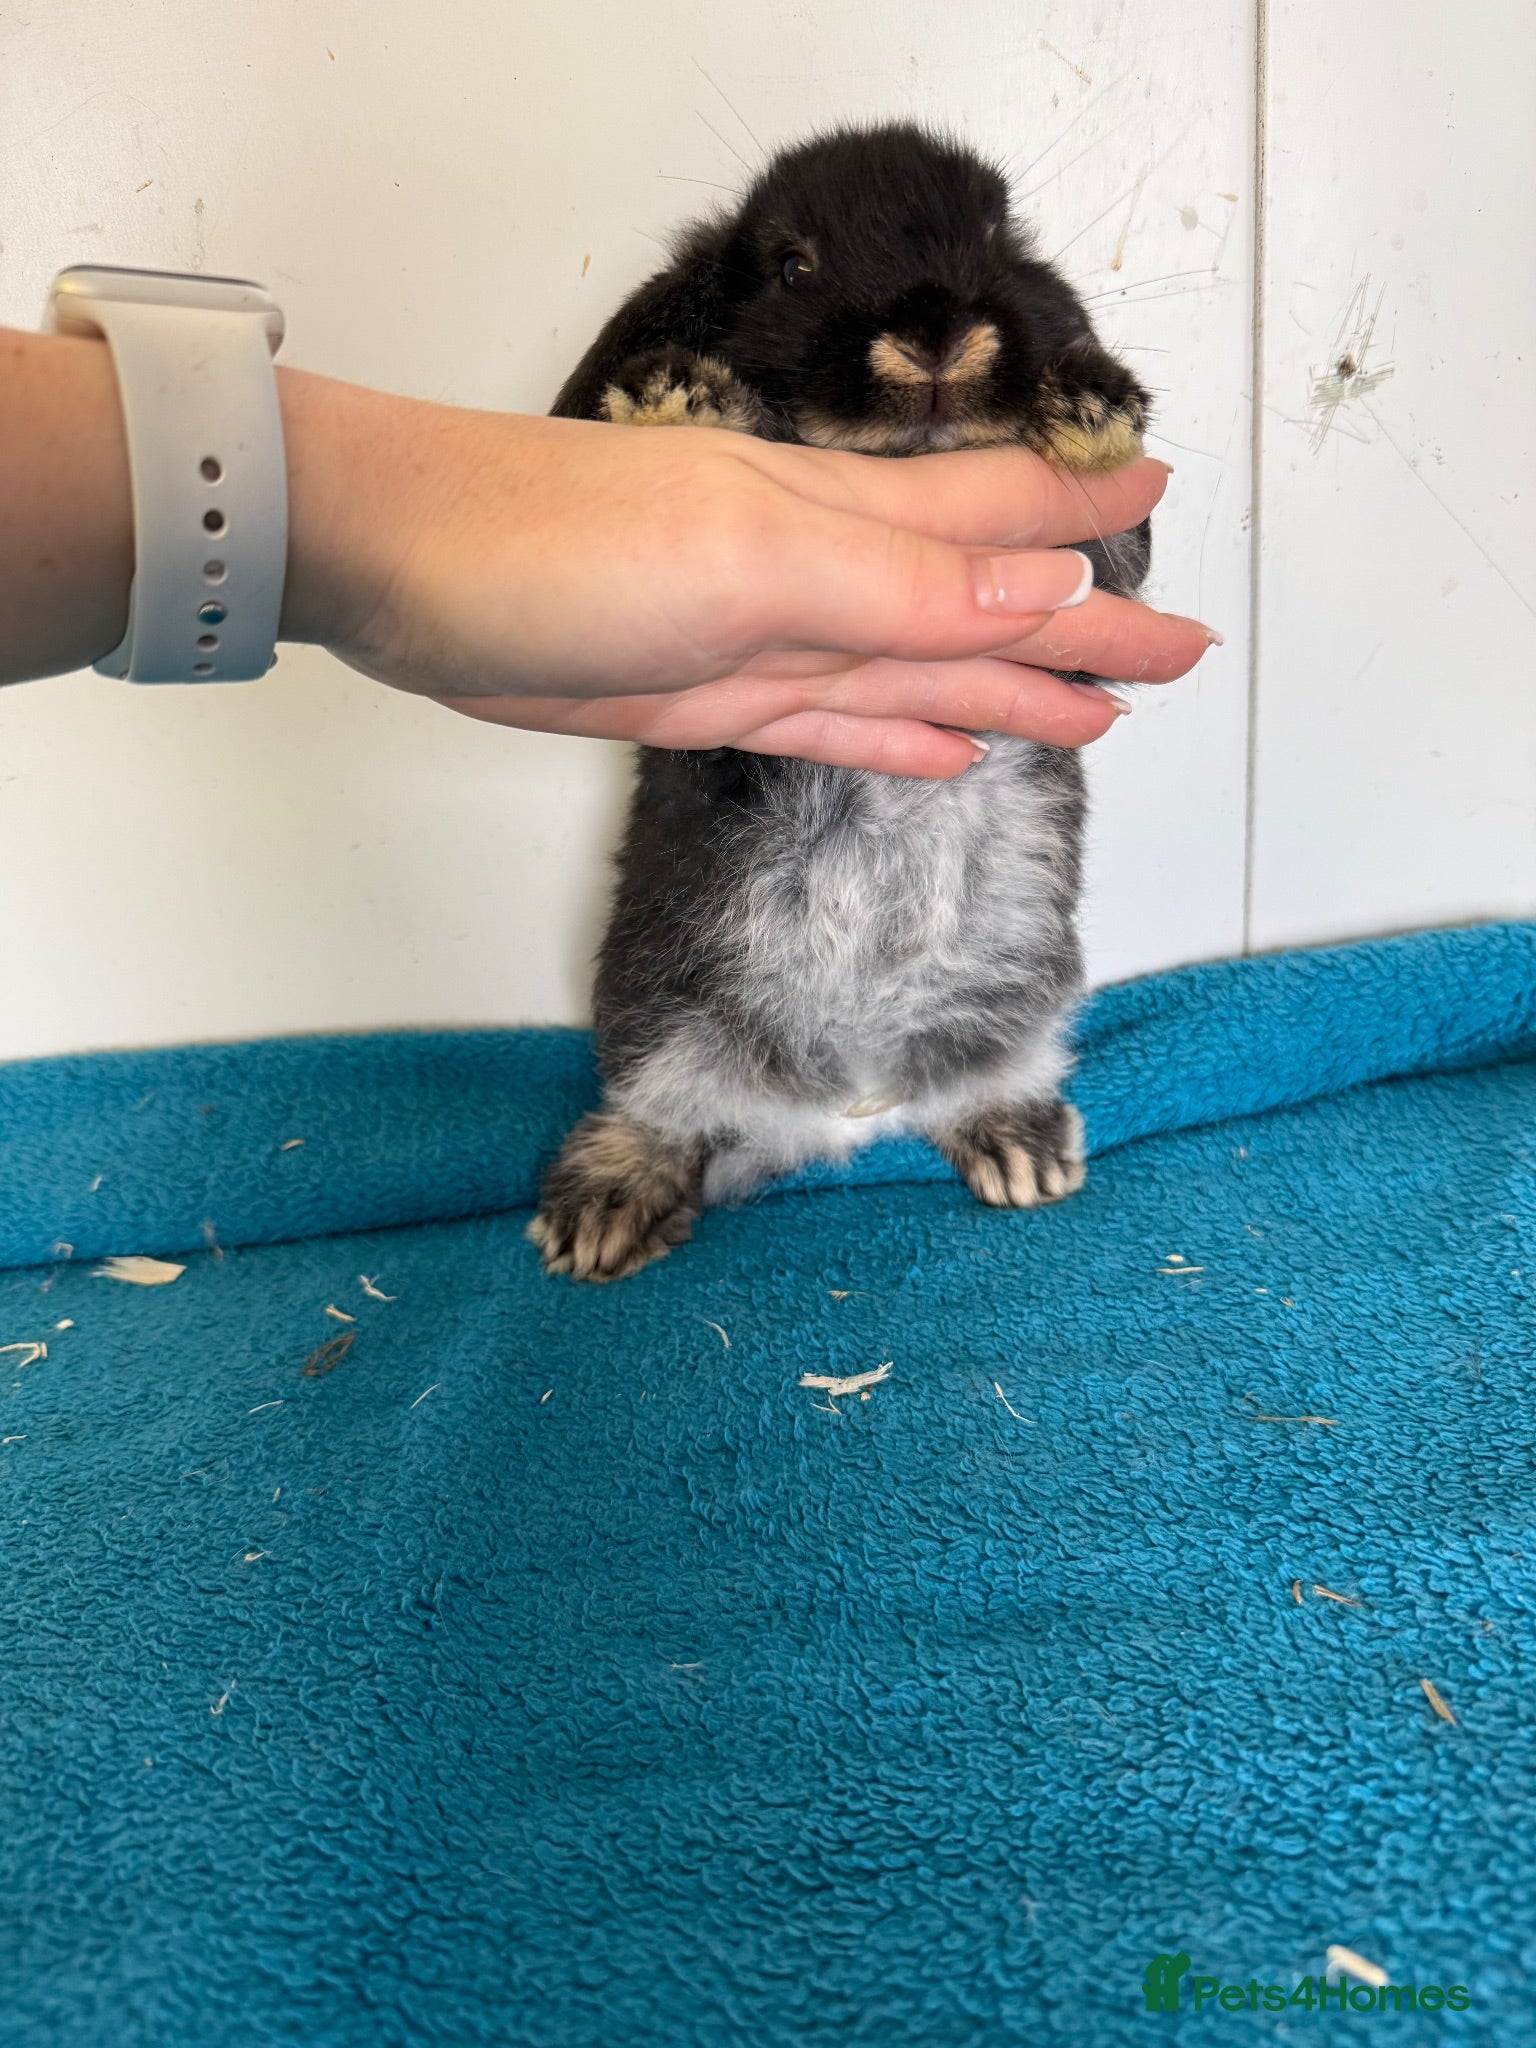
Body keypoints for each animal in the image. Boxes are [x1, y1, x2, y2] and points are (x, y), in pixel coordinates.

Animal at [529, 122, 1152, 1281]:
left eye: (997, 236)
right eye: (791, 266)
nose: (936, 332)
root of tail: (852, 1097)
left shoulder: (1094, 577)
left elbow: (1114, 545)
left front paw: (1090, 406)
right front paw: (675, 397)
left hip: (1019, 998)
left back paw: (1020, 1146)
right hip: (653, 1008)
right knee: (658, 1109)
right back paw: (603, 1209)